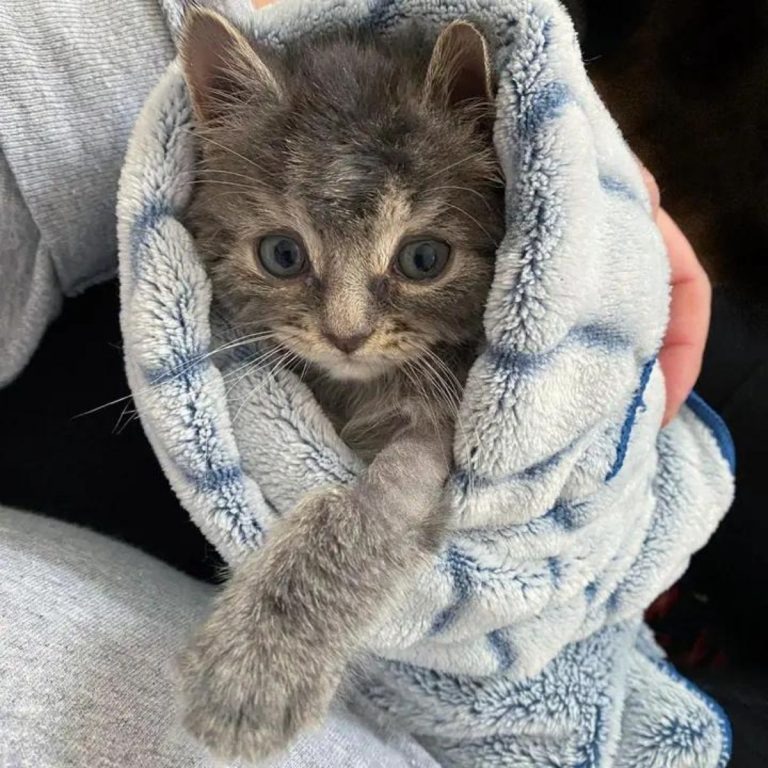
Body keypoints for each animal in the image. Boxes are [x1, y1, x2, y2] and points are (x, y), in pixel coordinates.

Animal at [178, 7, 508, 760]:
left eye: (424, 259)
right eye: (282, 254)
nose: (346, 335)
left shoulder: (435, 432)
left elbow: (354, 513)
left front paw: (253, 669)